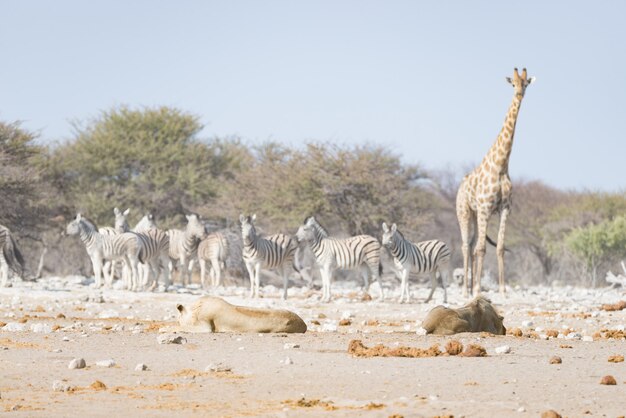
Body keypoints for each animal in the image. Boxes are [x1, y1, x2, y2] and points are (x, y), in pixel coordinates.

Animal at [456, 67, 532, 298]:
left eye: (526, 83)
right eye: (513, 83)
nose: (519, 94)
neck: (501, 166)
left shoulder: (505, 208)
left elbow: (499, 246)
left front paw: (503, 290)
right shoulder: (485, 208)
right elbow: (482, 248)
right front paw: (478, 289)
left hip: (474, 215)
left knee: (472, 245)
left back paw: (472, 287)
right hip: (465, 212)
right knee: (466, 246)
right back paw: (466, 291)